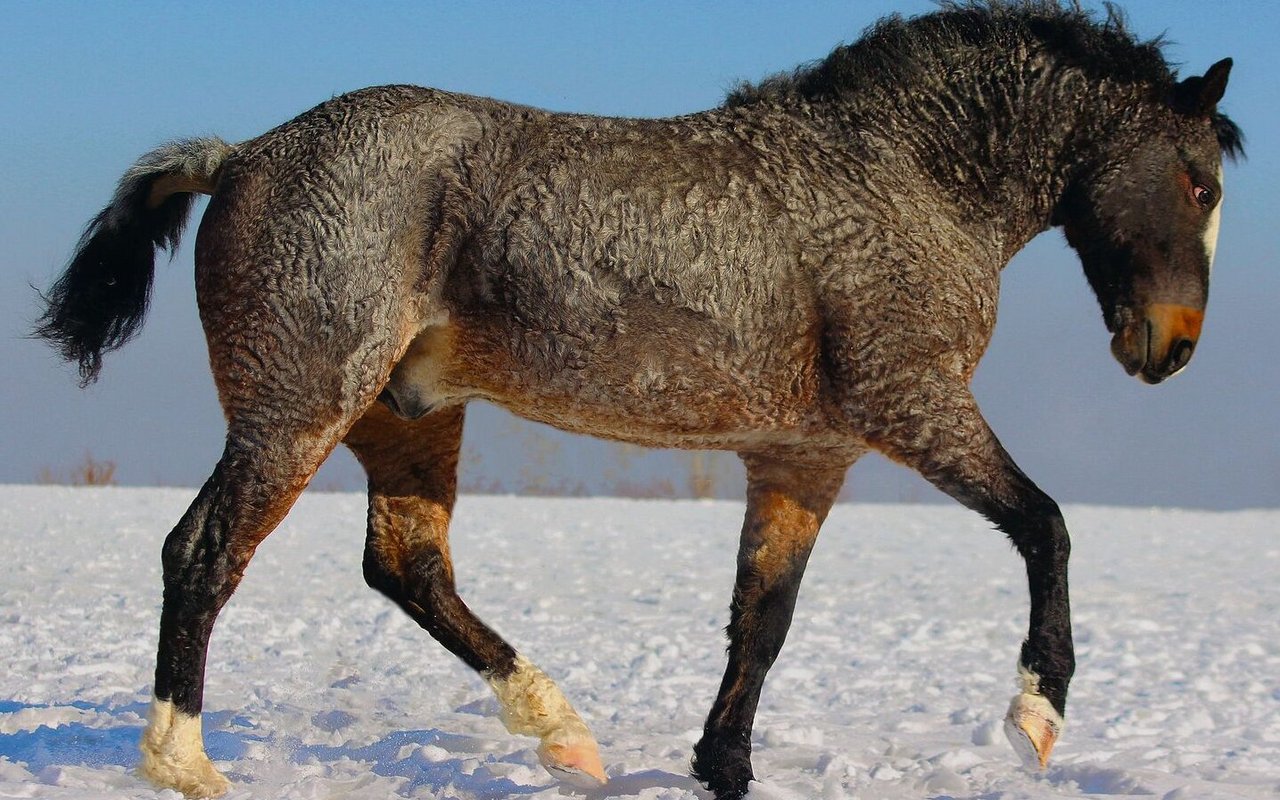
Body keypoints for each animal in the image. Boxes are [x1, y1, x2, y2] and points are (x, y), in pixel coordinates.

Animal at [37, 3, 1239, 793]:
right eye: (1196, 181)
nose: (1174, 348)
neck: (903, 181)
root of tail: (240, 154)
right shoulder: (912, 405)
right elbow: (1045, 525)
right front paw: (1036, 719)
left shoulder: (804, 457)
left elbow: (762, 621)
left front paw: (722, 764)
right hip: (298, 409)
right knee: (203, 552)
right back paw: (184, 761)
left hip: (406, 415)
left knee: (406, 566)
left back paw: (560, 730)